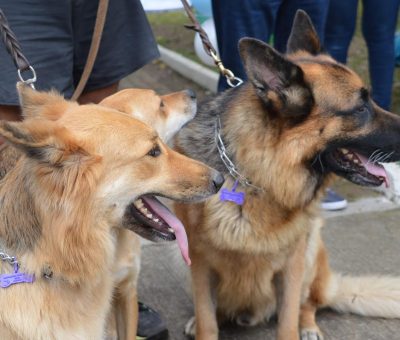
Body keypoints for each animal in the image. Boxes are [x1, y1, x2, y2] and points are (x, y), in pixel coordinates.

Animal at [176, 10, 400, 340]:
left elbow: (288, 321)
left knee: (308, 304)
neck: (259, 178)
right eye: (361, 108)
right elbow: (208, 321)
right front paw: (201, 323)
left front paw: (298, 326)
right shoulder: (200, 265)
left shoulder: (292, 265)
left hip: (310, 248)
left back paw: (309, 326)